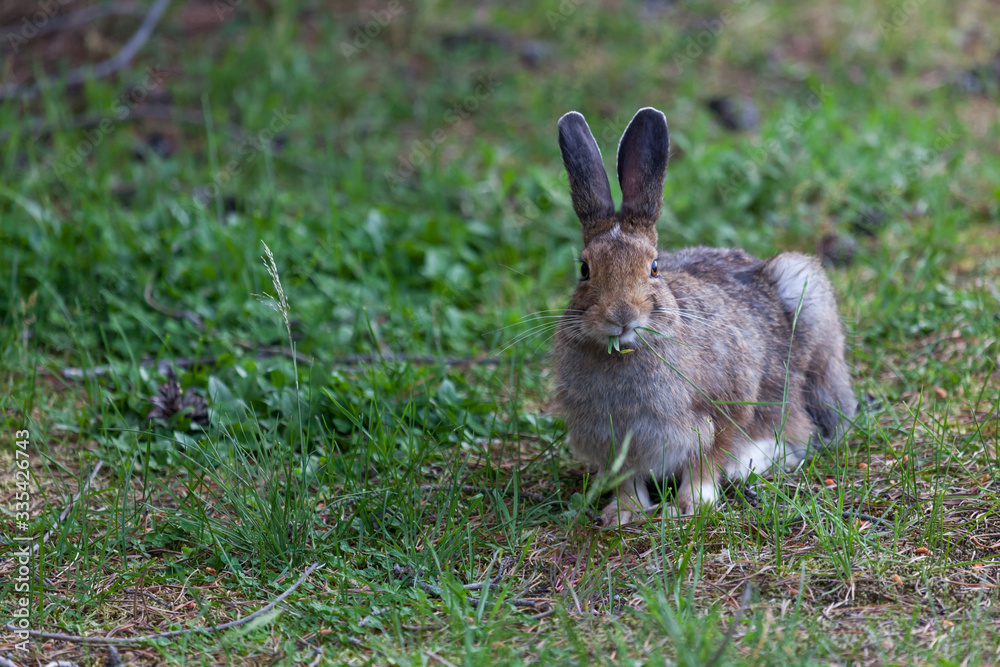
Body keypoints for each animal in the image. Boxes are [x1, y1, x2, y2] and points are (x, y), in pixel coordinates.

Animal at [552, 107, 857, 526]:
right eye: (584, 270)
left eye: (654, 267)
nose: (621, 314)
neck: (625, 353)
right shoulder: (613, 441)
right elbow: (628, 479)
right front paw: (624, 514)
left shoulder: (724, 408)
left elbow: (707, 461)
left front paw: (693, 505)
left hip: (808, 309)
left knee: (805, 431)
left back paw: (747, 464)